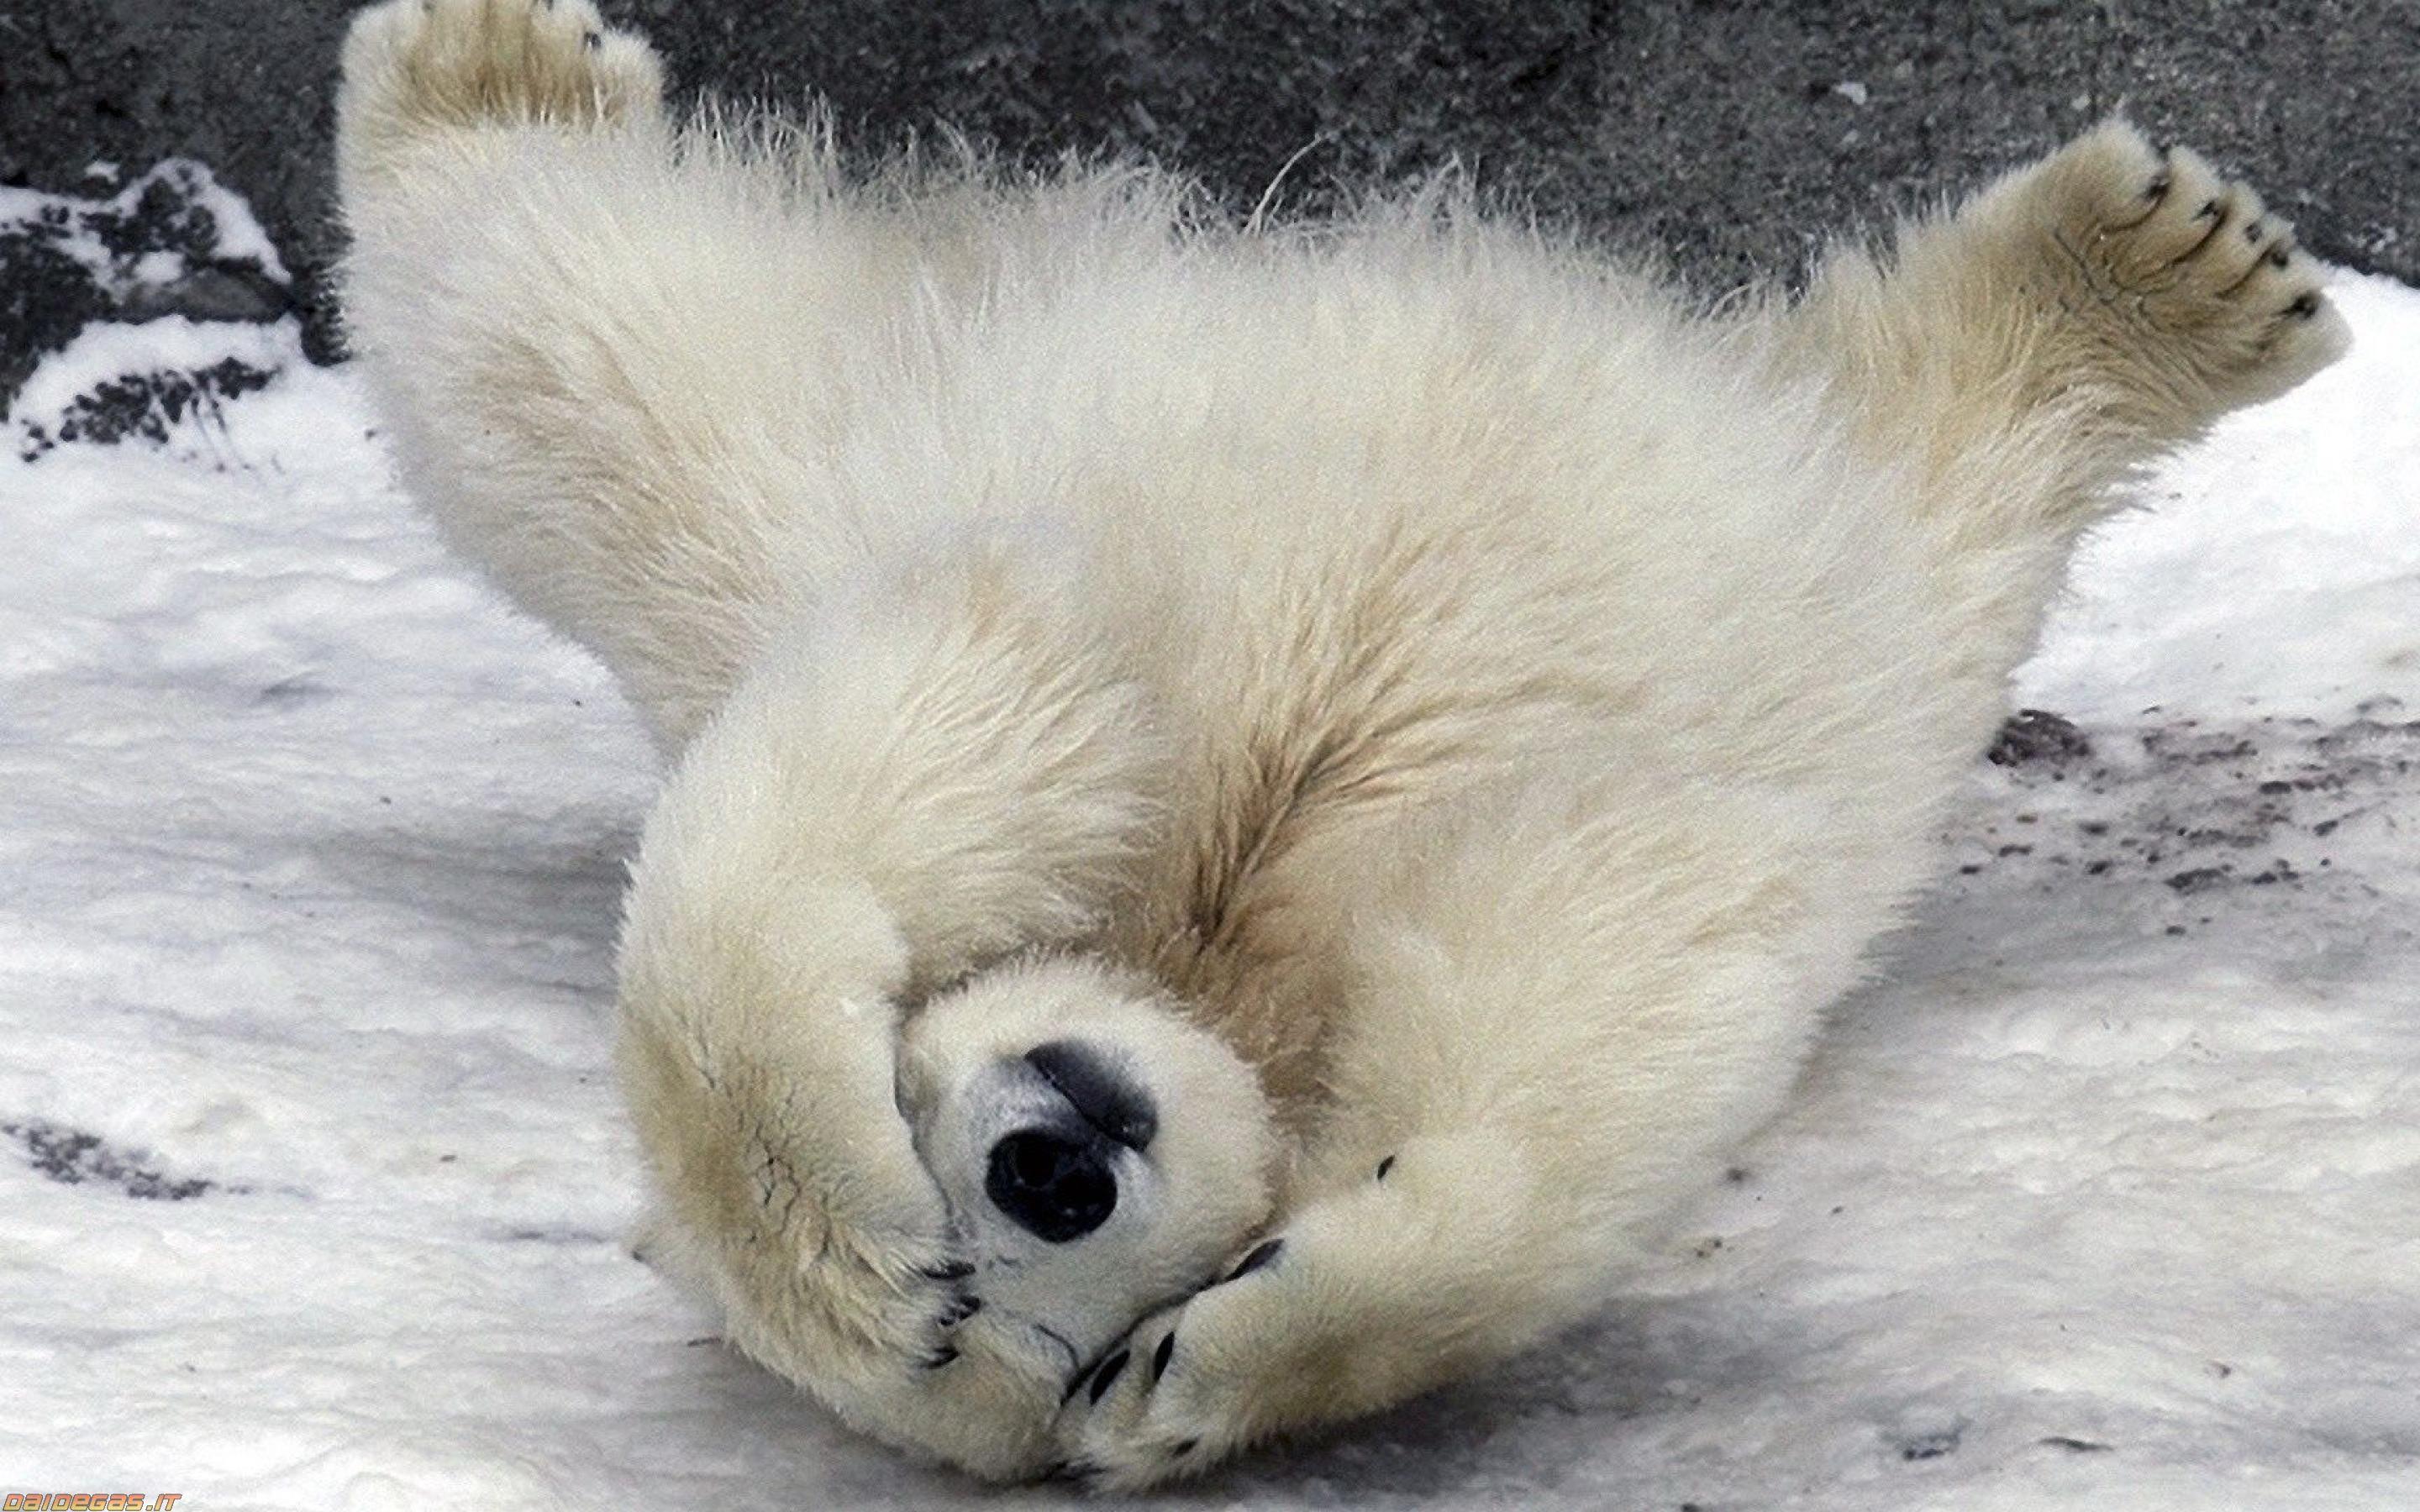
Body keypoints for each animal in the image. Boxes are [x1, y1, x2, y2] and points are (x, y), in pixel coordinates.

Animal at [334, 0, 2348, 1490]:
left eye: (937, 1171)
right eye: (1018, 1341)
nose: (1052, 1158)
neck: (1207, 953)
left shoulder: (1059, 677)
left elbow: (957, 728)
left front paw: (838, 1213)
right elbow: (1588, 960)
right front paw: (1244, 1348)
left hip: (837, 461)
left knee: (587, 361)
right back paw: (2160, 283)